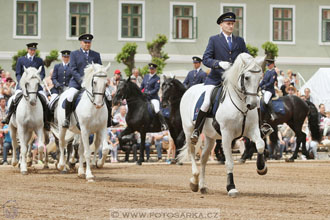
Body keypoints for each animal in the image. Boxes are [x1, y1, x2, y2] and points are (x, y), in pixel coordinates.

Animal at [179, 52, 266, 196]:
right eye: (247, 77)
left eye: (260, 78)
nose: (253, 104)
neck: (242, 105)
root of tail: (189, 89)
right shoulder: (226, 135)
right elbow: (229, 162)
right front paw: (231, 187)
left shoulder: (253, 129)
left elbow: (260, 145)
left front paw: (261, 167)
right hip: (189, 131)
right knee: (191, 152)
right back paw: (194, 181)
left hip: (210, 137)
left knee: (203, 159)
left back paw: (202, 186)